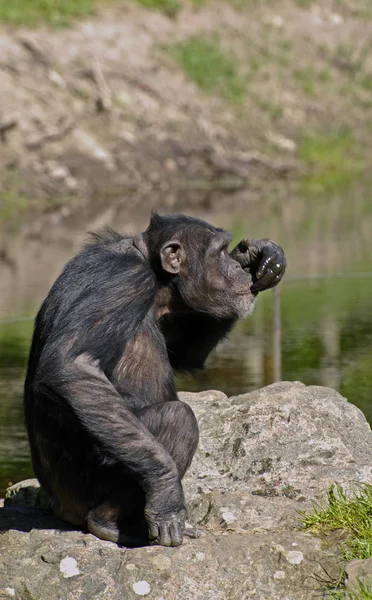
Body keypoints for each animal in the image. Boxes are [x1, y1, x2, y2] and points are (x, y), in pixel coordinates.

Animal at [23, 213, 286, 548]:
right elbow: (72, 366)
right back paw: (110, 524)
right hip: (85, 486)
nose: (237, 267)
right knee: (177, 418)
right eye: (219, 252)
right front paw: (166, 492)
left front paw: (261, 254)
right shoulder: (123, 280)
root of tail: (56, 505)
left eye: (228, 250)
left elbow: (185, 353)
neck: (155, 274)